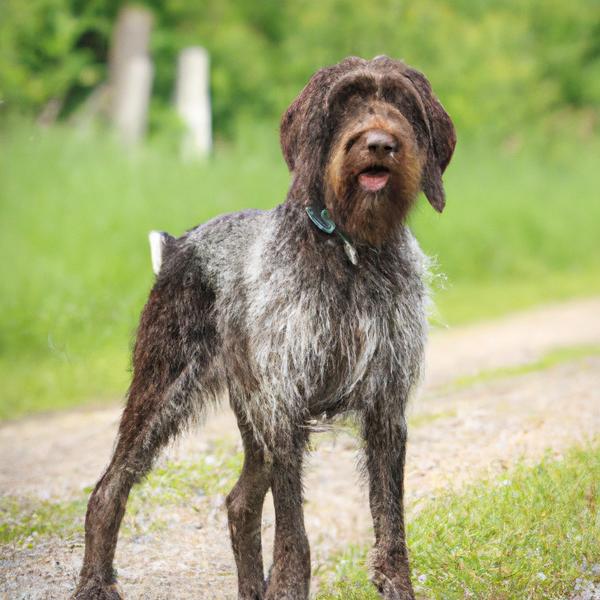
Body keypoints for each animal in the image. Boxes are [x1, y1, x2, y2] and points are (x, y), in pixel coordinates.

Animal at [74, 56, 454, 600]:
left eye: (402, 101)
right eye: (347, 100)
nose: (380, 143)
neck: (351, 252)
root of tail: (178, 245)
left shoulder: (385, 406)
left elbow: (391, 524)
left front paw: (397, 586)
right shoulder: (286, 409)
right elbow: (294, 531)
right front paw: (290, 585)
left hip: (248, 416)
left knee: (239, 502)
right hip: (164, 394)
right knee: (108, 490)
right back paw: (95, 583)